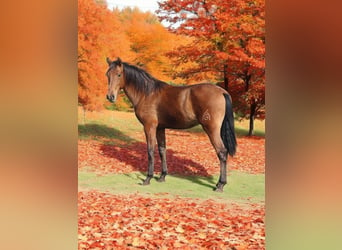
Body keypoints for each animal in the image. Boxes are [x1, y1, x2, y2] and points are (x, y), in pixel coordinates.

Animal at [105, 58, 236, 191]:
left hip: (211, 129)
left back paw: (220, 184)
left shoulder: (149, 126)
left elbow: (150, 151)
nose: (110, 97)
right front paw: (162, 176)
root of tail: (223, 92)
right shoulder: (160, 128)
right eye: (107, 75)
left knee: (222, 152)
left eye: (119, 74)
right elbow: (162, 150)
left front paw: (148, 178)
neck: (147, 94)